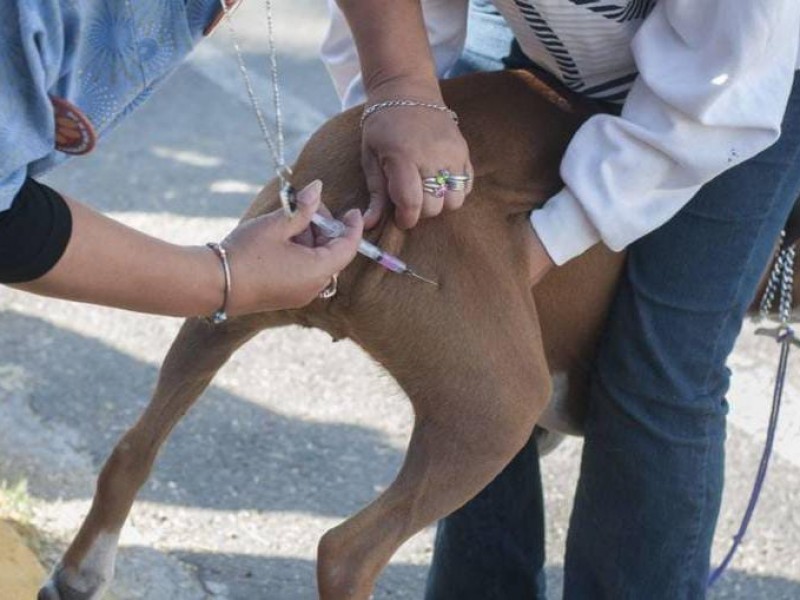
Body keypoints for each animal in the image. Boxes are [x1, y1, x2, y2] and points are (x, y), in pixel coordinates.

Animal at [36, 68, 792, 596]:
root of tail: (387, 199)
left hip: (228, 301)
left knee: (133, 450)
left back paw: (80, 575)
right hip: (494, 411)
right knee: (345, 552)